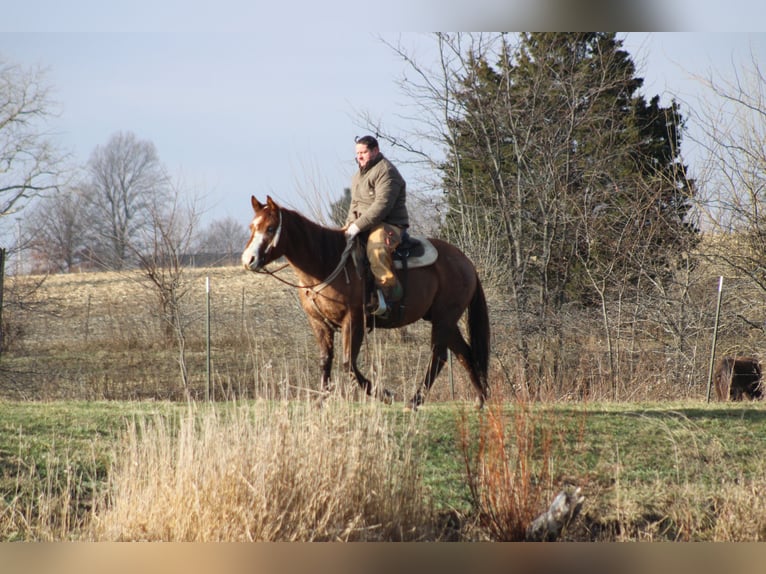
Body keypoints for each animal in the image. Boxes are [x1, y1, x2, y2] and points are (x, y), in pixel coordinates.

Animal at [240, 195, 490, 409]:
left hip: (443, 318)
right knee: (464, 353)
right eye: (252, 227)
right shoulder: (318, 323)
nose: (248, 260)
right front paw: (321, 400)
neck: (326, 262)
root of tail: (465, 261)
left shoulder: (354, 320)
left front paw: (385, 394)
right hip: (445, 320)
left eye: (270, 228)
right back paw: (480, 398)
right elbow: (325, 360)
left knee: (439, 357)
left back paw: (414, 401)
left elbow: (347, 363)